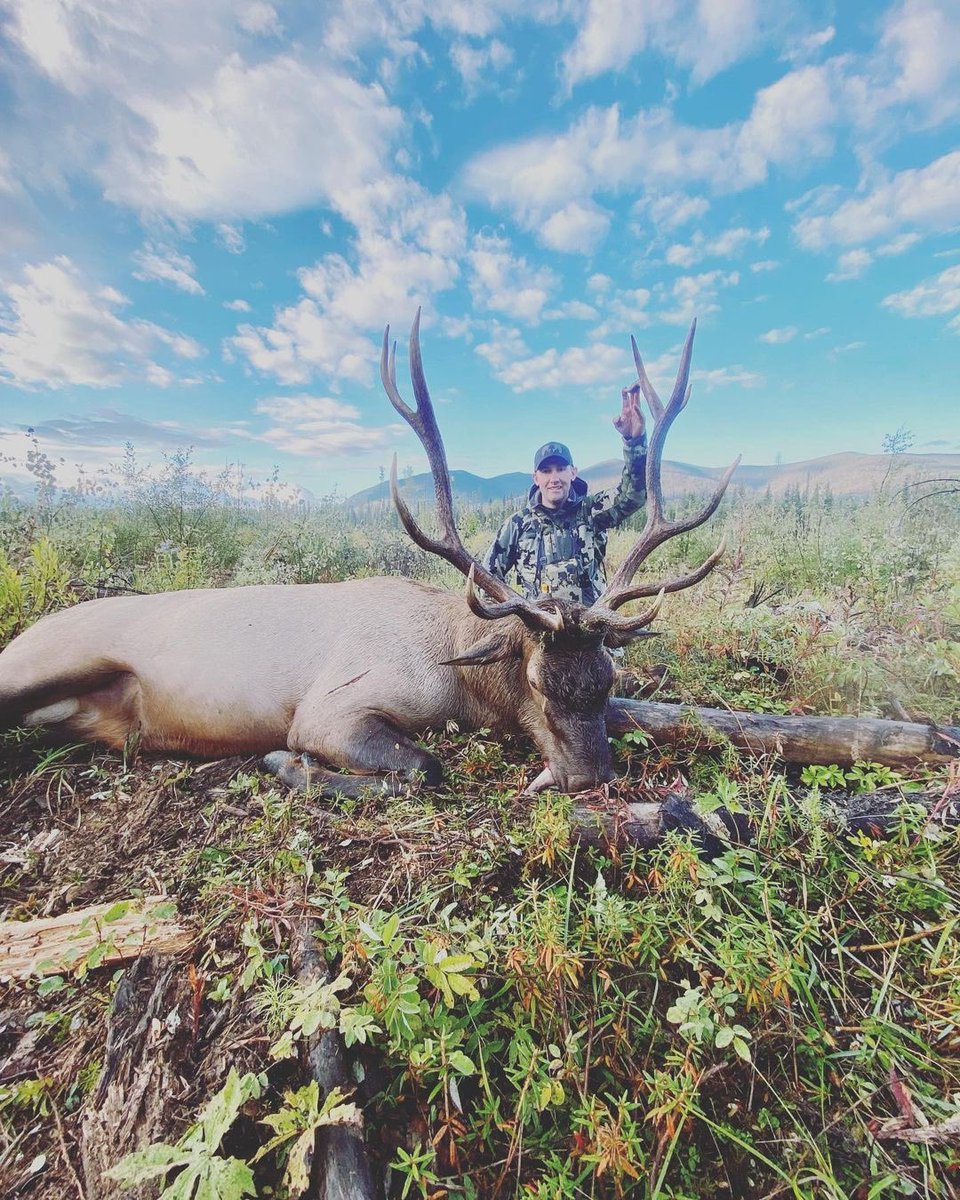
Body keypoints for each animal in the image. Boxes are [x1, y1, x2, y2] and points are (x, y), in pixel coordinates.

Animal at [0, 312, 737, 797]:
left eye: (607, 679)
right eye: (534, 680)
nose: (590, 779)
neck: (456, 672)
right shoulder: (328, 708)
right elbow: (423, 767)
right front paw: (288, 765)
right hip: (44, 659)